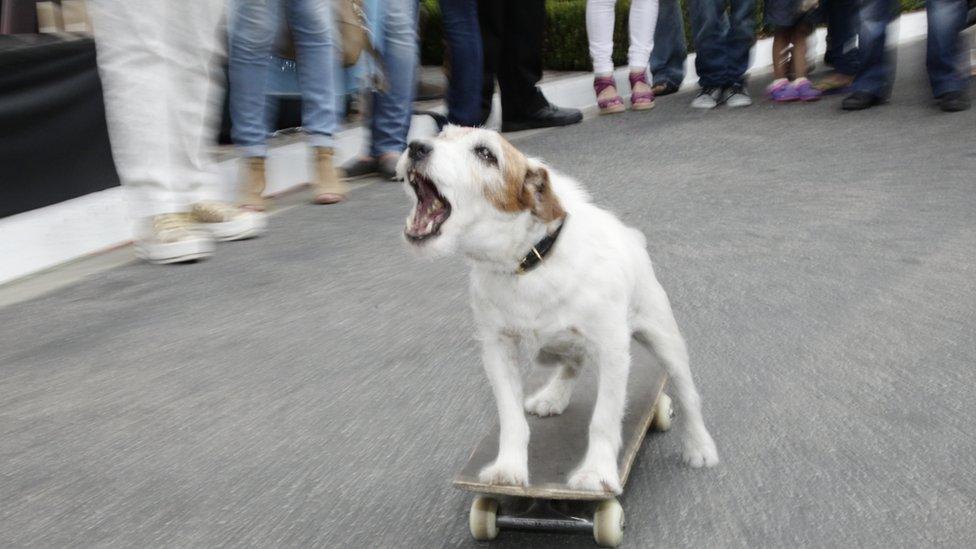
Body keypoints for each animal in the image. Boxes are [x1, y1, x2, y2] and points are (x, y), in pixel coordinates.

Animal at [396, 127, 716, 492]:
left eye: (486, 154)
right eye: (441, 133)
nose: (416, 146)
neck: (530, 261)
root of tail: (631, 237)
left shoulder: (612, 350)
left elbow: (604, 419)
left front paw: (596, 473)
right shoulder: (497, 348)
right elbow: (511, 418)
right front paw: (508, 467)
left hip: (664, 339)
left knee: (688, 394)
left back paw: (700, 447)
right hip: (562, 343)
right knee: (572, 361)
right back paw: (553, 395)